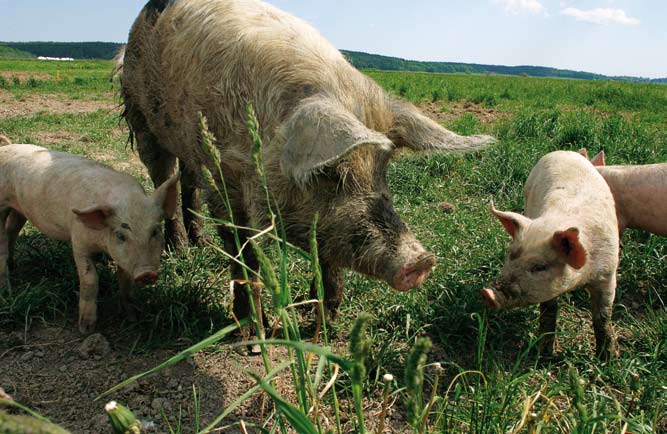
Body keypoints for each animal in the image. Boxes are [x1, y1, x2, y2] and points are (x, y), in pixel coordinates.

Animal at [0, 142, 179, 332]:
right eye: (120, 235)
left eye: (155, 231)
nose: (147, 273)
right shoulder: (78, 241)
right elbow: (90, 279)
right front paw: (86, 329)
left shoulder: (124, 258)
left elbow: (125, 281)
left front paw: (132, 317)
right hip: (1, 205)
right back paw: (6, 291)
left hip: (20, 210)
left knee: (12, 230)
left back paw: (13, 265)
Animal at [121, 0, 496, 318]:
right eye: (328, 172)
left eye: (383, 168)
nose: (420, 261)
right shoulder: (222, 176)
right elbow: (243, 249)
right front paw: (252, 333)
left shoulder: (323, 222)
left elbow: (326, 254)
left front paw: (325, 320)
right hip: (142, 118)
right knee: (164, 179)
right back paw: (181, 251)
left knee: (186, 182)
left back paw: (201, 244)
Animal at [482, 151, 620, 358]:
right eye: (511, 255)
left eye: (540, 267)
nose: (488, 293)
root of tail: (565, 152)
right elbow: (548, 311)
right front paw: (545, 355)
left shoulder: (607, 274)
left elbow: (602, 317)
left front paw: (607, 359)